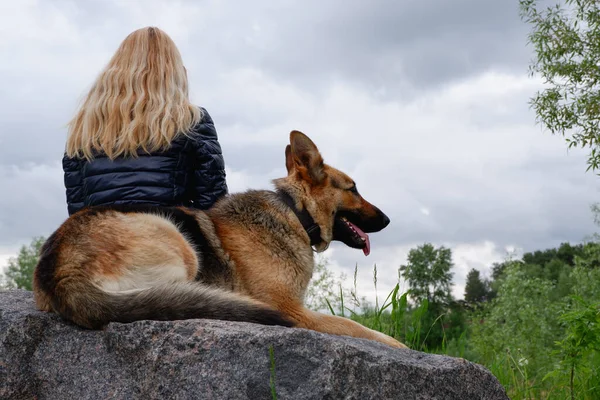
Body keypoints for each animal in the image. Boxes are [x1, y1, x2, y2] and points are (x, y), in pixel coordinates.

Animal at [34, 131, 408, 346]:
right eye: (353, 189)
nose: (389, 220)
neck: (295, 212)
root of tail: (59, 269)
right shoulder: (293, 310)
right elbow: (361, 329)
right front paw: (399, 345)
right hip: (177, 239)